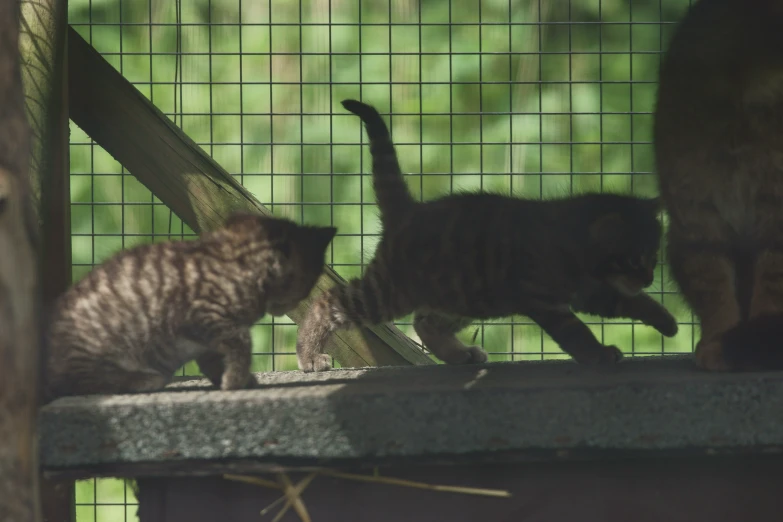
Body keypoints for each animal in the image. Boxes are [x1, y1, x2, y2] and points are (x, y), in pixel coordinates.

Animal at [44, 211, 336, 398]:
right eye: (309, 281)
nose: (300, 302)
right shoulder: (204, 316)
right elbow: (241, 343)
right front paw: (235, 381)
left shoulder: (209, 337)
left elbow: (215, 358)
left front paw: (233, 379)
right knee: (81, 382)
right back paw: (140, 379)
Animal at [298, 98, 676, 370]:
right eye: (633, 259)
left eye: (654, 256)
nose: (648, 277)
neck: (571, 241)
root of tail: (409, 210)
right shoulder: (546, 301)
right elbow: (577, 333)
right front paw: (598, 354)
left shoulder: (591, 293)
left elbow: (629, 302)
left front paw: (666, 320)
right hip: (392, 289)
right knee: (326, 301)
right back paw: (309, 354)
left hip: (461, 295)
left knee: (425, 322)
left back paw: (458, 355)